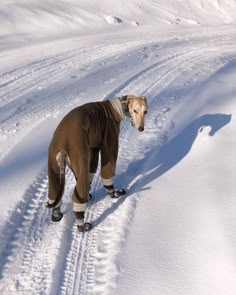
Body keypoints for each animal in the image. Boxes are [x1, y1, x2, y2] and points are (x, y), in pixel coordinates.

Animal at [46, 96, 148, 232]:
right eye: (135, 110)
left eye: (145, 111)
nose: (141, 128)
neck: (118, 107)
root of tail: (62, 146)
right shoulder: (109, 143)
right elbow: (108, 173)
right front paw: (114, 193)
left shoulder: (93, 149)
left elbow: (91, 172)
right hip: (80, 159)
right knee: (78, 196)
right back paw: (82, 225)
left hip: (54, 167)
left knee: (55, 193)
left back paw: (56, 215)